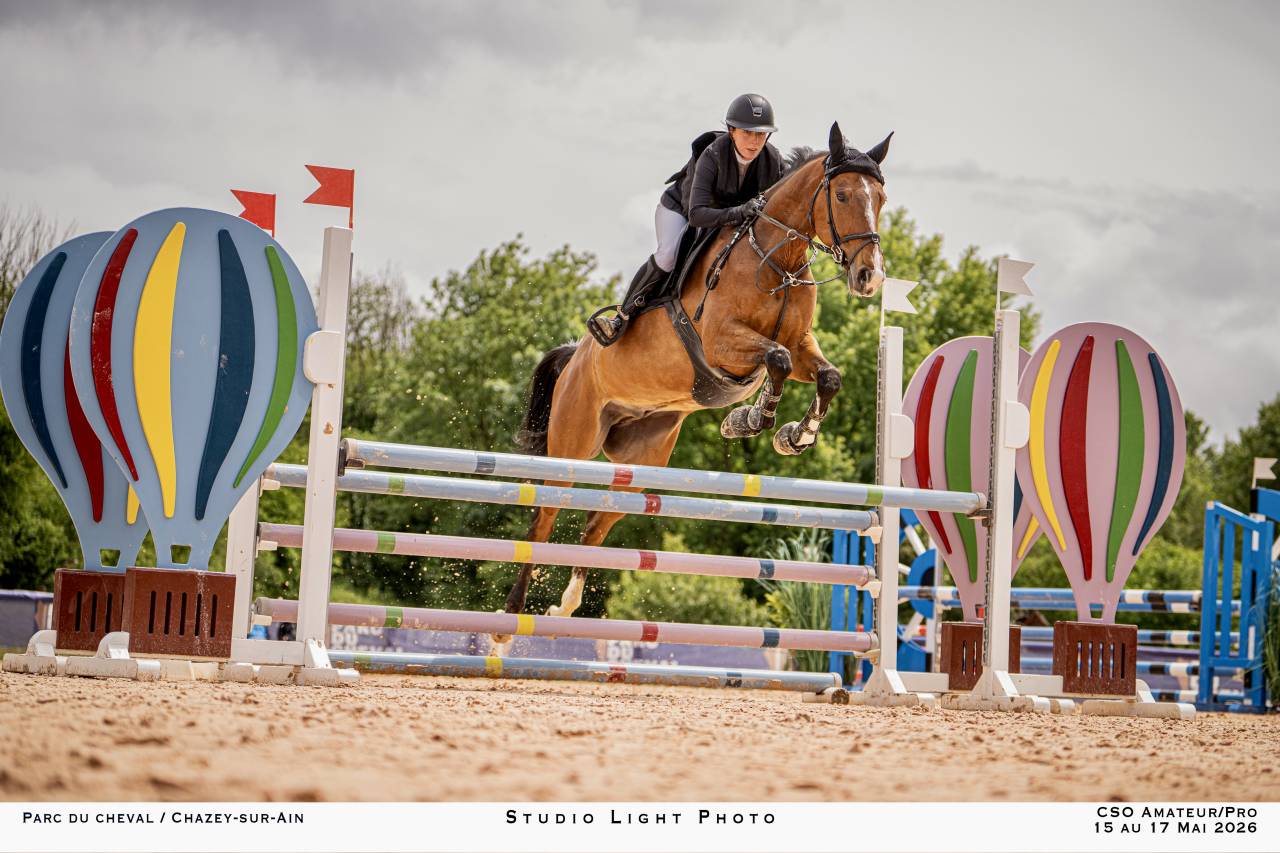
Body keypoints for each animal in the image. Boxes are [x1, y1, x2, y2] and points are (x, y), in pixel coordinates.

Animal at [500, 122, 890, 628]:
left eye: (880, 198)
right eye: (842, 195)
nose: (870, 277)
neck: (777, 259)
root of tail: (575, 358)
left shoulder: (803, 344)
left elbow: (826, 376)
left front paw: (794, 435)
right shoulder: (722, 343)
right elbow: (777, 360)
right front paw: (749, 420)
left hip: (642, 457)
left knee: (597, 521)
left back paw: (565, 605)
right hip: (573, 441)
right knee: (543, 519)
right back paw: (508, 622)